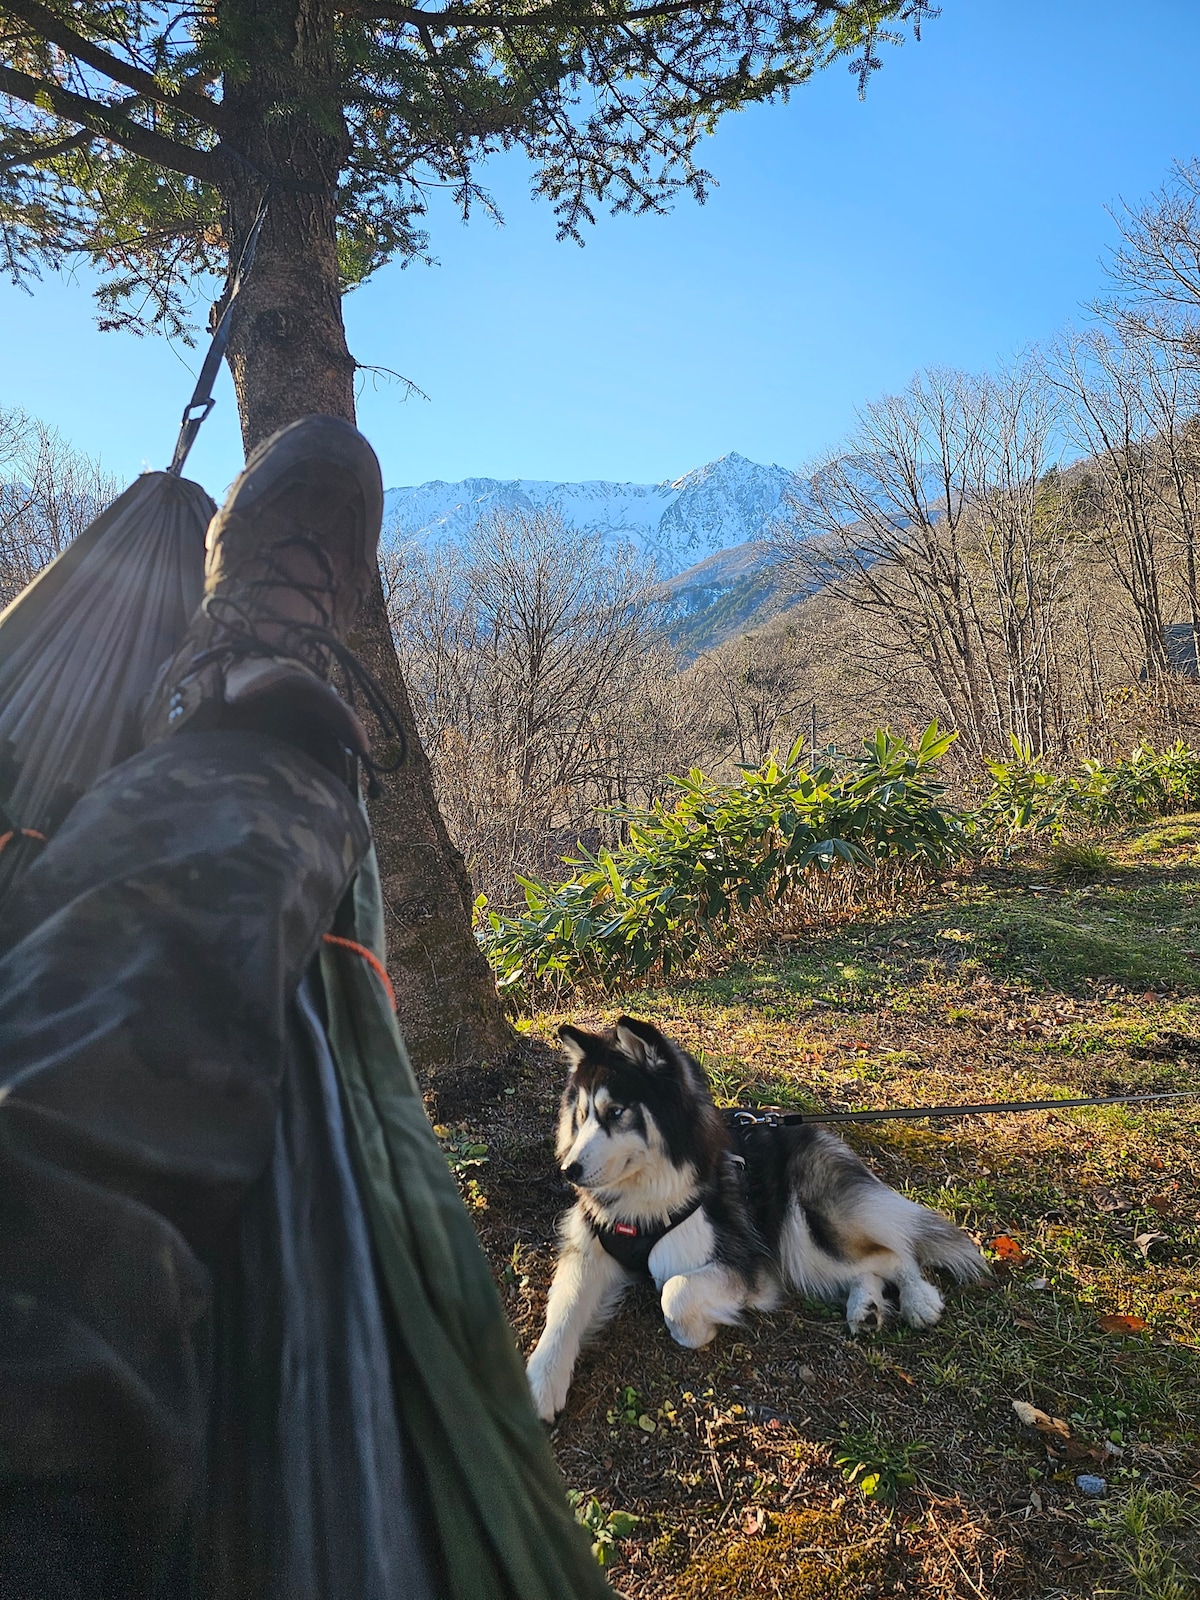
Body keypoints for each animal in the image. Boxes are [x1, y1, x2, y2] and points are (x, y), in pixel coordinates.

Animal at [524, 1017, 985, 1420]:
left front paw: (701, 1330)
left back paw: (918, 1300)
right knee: (868, 1264)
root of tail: (809, 1129)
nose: (569, 1170)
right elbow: (562, 1313)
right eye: (581, 1116)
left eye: (617, 1112)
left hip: (798, 1235)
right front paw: (540, 1383)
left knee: (892, 1251)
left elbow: (674, 1293)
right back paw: (866, 1307)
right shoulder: (588, 1250)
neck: (643, 1200)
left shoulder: (743, 1263)